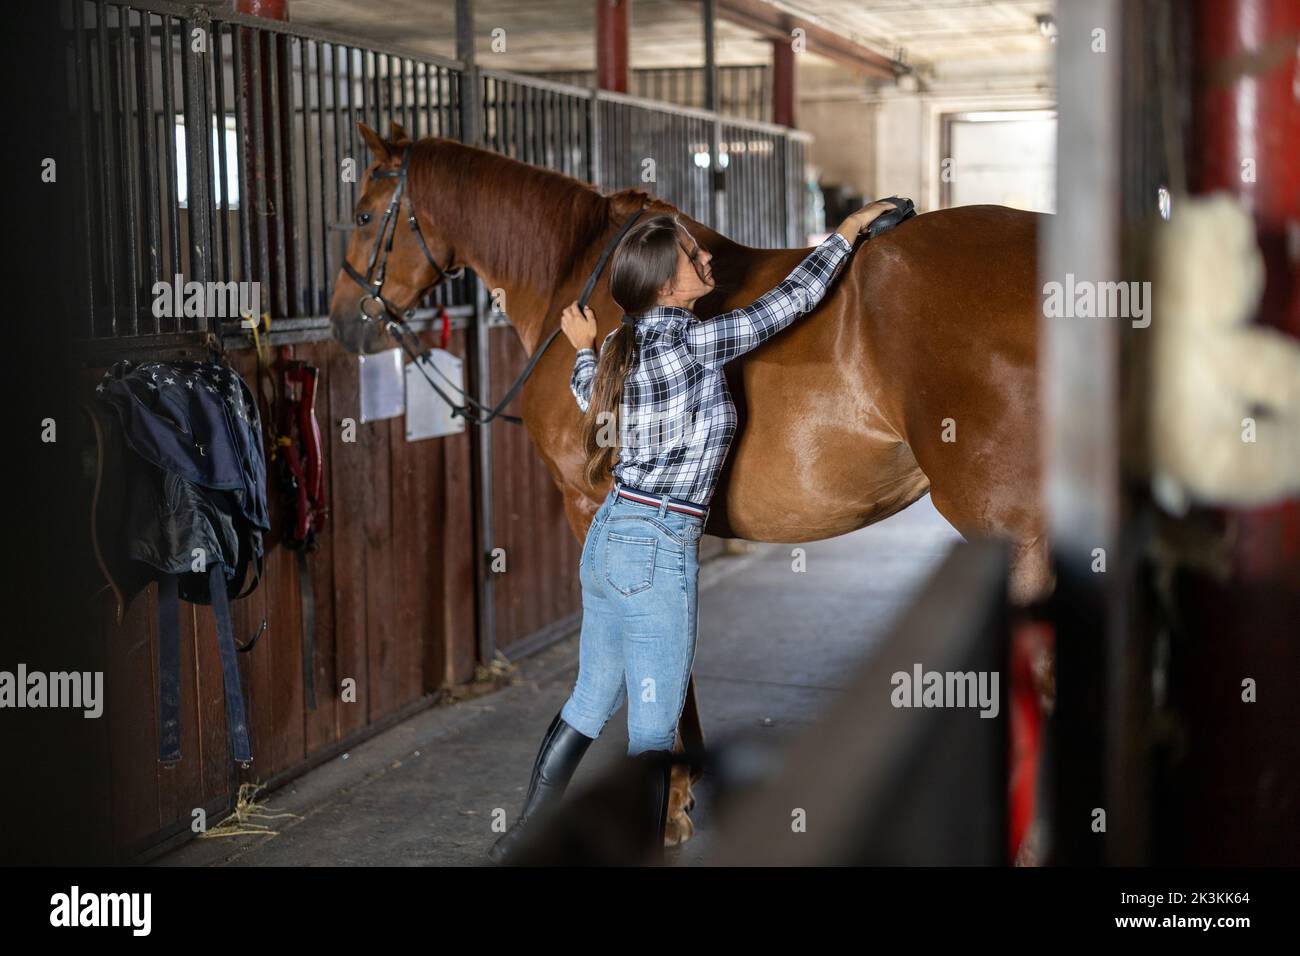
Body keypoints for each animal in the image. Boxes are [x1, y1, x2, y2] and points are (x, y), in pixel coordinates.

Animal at [329, 122, 1049, 846]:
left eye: (362, 215)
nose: (345, 322)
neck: (582, 282)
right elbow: (677, 650)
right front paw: (684, 782)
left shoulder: (591, 506)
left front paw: (669, 804)